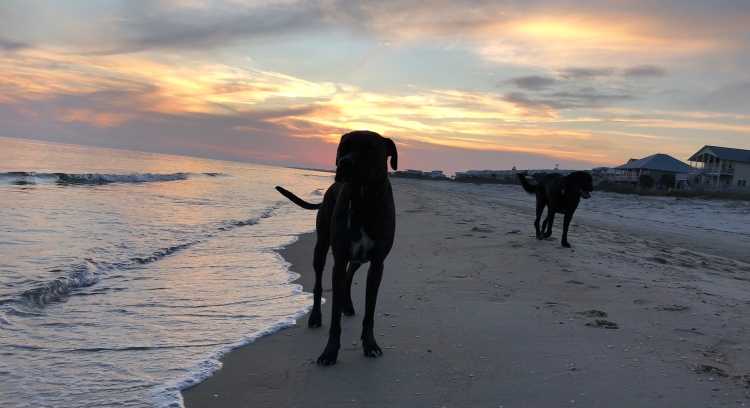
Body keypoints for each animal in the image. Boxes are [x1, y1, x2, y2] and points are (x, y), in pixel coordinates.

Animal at [276, 131, 400, 366]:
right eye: (343, 147)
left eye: (370, 149)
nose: (345, 163)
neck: (362, 201)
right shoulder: (340, 260)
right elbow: (334, 315)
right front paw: (330, 352)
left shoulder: (377, 264)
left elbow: (370, 311)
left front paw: (370, 344)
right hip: (321, 247)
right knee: (318, 284)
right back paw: (316, 316)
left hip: (358, 258)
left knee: (350, 276)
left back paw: (348, 305)